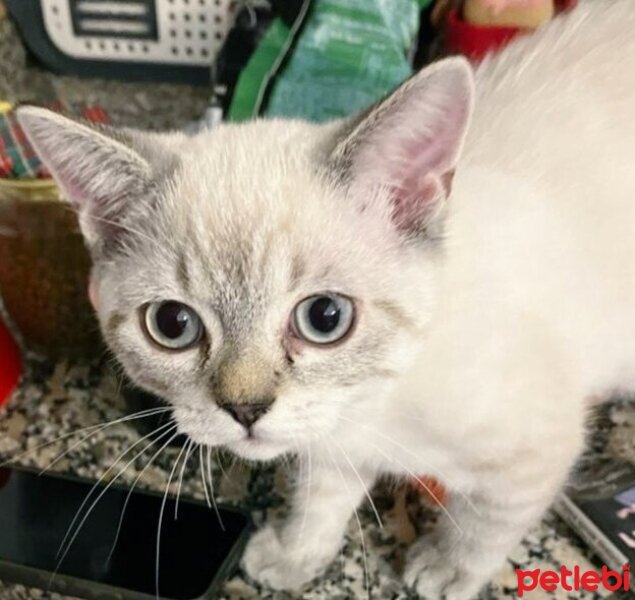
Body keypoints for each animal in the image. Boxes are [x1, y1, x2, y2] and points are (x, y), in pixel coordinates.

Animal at [16, 1, 635, 596]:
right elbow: (321, 500)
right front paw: (294, 556)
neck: (374, 405)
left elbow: (485, 524)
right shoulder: (327, 443)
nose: (245, 410)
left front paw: (446, 569)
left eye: (325, 317)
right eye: (173, 324)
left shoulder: (537, 450)